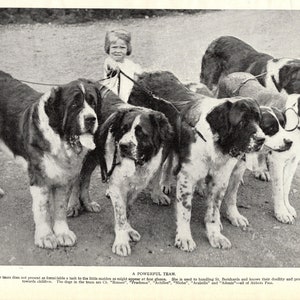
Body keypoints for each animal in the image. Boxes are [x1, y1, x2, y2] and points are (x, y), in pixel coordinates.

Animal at [0, 70, 99, 248]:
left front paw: (62, 233)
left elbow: (60, 207)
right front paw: (45, 236)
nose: (91, 118)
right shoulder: (39, 179)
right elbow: (43, 209)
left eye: (93, 103)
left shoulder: (65, 178)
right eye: (74, 105)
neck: (60, 140)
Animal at [68, 85, 173, 256]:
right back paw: (73, 205)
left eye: (141, 133)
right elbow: (121, 214)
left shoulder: (136, 187)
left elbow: (127, 210)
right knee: (77, 180)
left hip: (94, 157)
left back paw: (88, 203)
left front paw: (128, 230)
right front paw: (122, 241)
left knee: (85, 177)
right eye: (123, 129)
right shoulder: (117, 186)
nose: (123, 146)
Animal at [127, 71, 266, 251]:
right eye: (242, 122)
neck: (212, 142)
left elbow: (214, 210)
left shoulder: (220, 179)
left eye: (258, 120)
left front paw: (215, 235)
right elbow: (186, 210)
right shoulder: (188, 177)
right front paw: (184, 238)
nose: (262, 139)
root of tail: (146, 74)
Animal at [217, 71, 298, 224]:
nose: (289, 142)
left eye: (283, 125)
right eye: (271, 128)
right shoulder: (277, 161)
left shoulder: (294, 161)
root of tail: (232, 74)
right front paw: (281, 212)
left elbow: (286, 187)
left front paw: (287, 208)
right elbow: (279, 188)